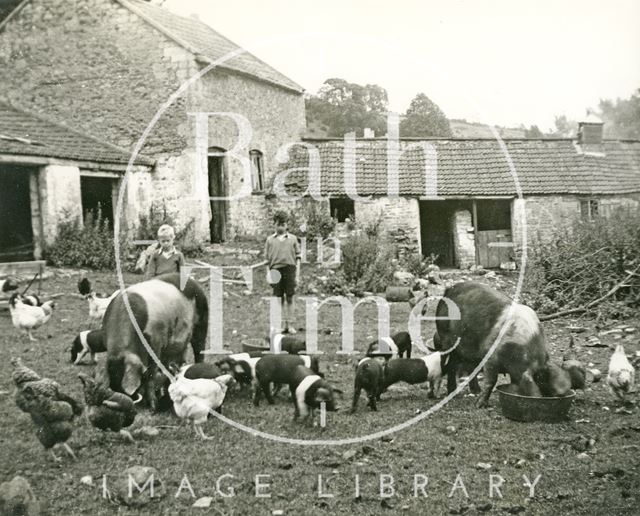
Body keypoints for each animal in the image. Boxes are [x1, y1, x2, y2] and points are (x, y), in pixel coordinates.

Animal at [101, 274, 209, 412]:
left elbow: (150, 374)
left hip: (202, 321)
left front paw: (152, 407)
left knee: (199, 349)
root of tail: (192, 281)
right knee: (177, 360)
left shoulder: (156, 343)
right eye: (113, 383)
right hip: (175, 346)